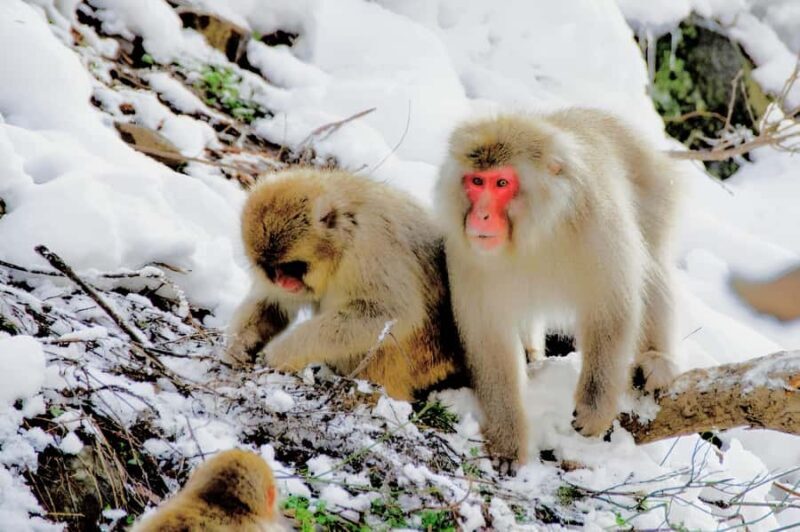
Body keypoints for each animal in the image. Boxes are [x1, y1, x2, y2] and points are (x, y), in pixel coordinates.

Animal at [224, 168, 465, 401]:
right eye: (272, 270)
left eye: (292, 267)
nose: (283, 282)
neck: (343, 241)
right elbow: (274, 303)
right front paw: (238, 345)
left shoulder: (371, 246)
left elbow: (391, 312)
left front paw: (284, 351)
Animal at [435, 109, 682, 464]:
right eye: (476, 181)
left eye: (501, 183)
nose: (480, 216)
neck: (537, 232)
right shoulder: (466, 252)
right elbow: (490, 339)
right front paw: (508, 438)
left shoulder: (599, 221)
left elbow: (612, 308)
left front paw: (595, 406)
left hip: (655, 191)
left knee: (652, 261)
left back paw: (656, 359)